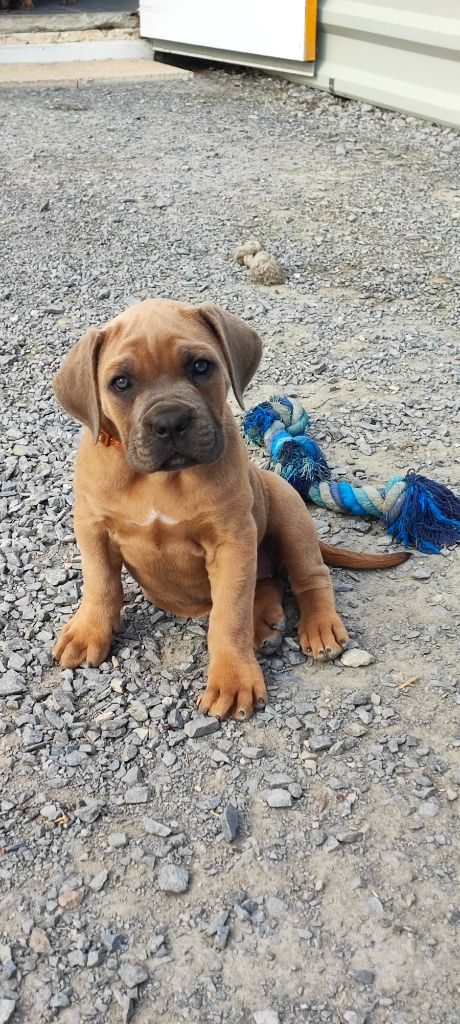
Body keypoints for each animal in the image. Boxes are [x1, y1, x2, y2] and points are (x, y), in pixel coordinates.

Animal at [52, 299, 407, 720]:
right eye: (120, 383)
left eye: (200, 366)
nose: (170, 422)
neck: (161, 482)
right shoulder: (92, 528)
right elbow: (100, 584)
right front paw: (88, 632)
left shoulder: (232, 541)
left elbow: (228, 616)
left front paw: (234, 679)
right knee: (267, 580)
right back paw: (266, 623)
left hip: (288, 510)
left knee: (310, 577)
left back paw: (317, 626)